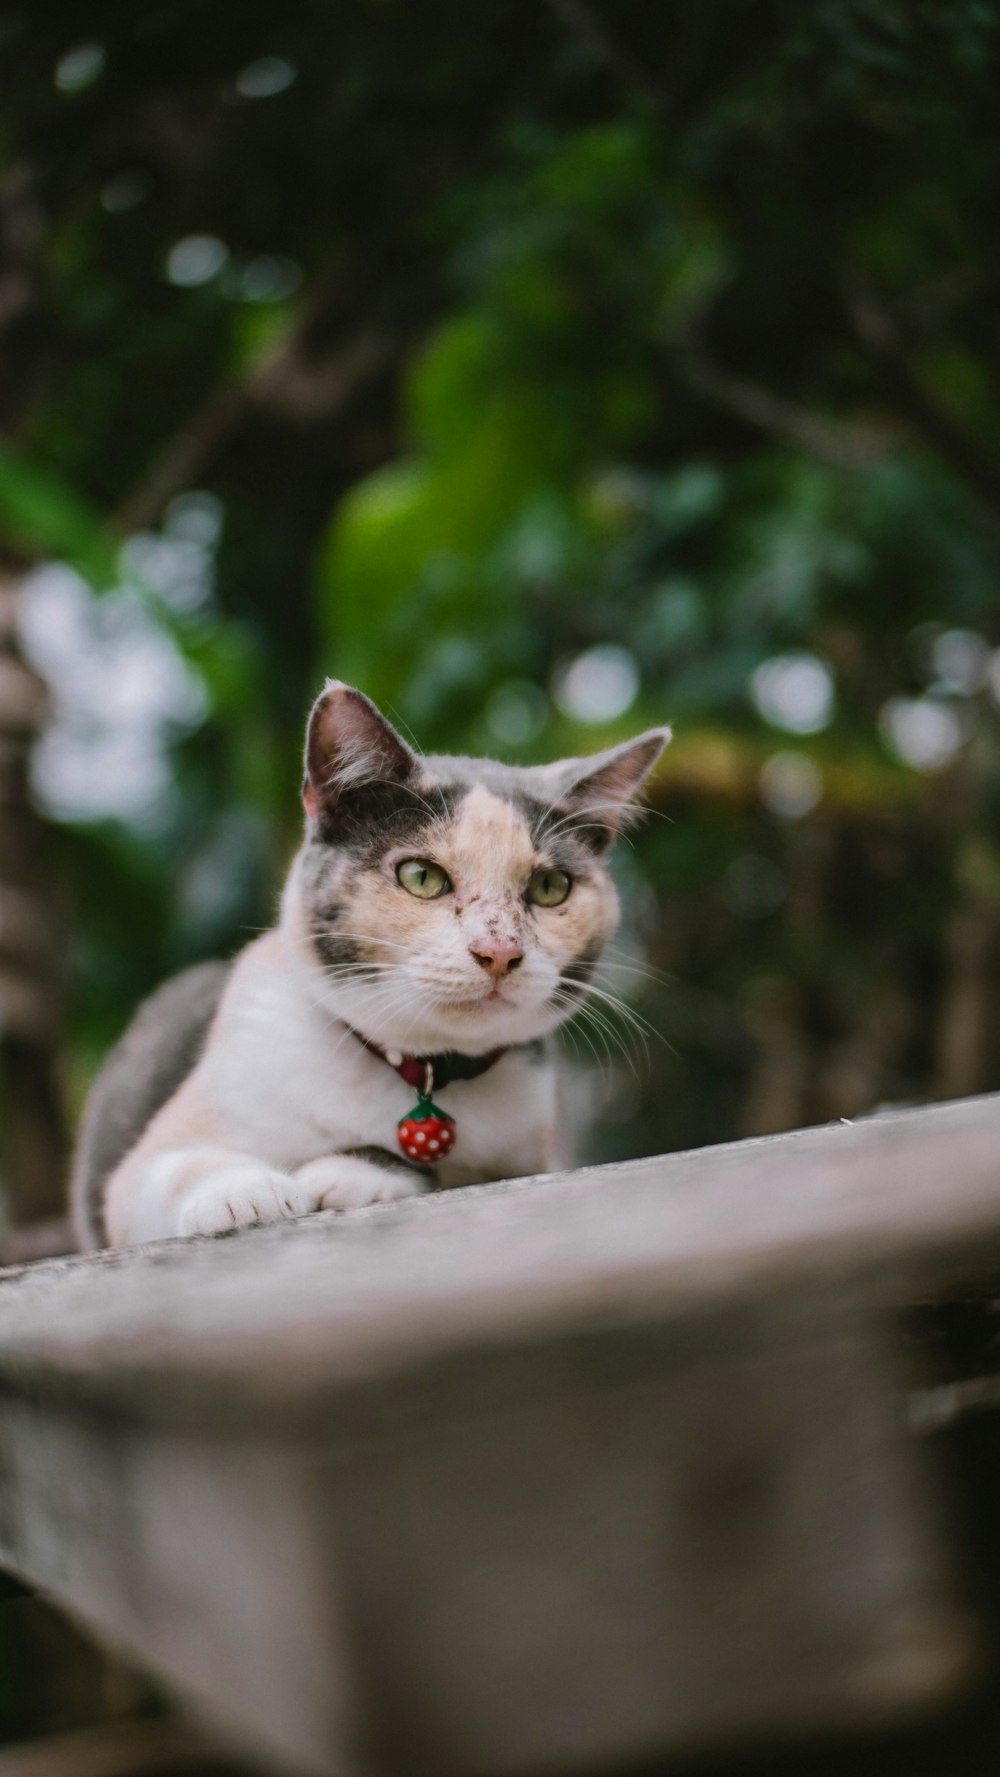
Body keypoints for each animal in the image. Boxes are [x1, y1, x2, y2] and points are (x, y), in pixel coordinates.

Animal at [70, 678, 664, 1251]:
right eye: (421, 877)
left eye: (550, 888)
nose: (498, 951)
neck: (418, 1068)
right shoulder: (140, 1167)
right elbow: (162, 1170)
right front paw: (245, 1192)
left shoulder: (530, 1154)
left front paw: (346, 1173)